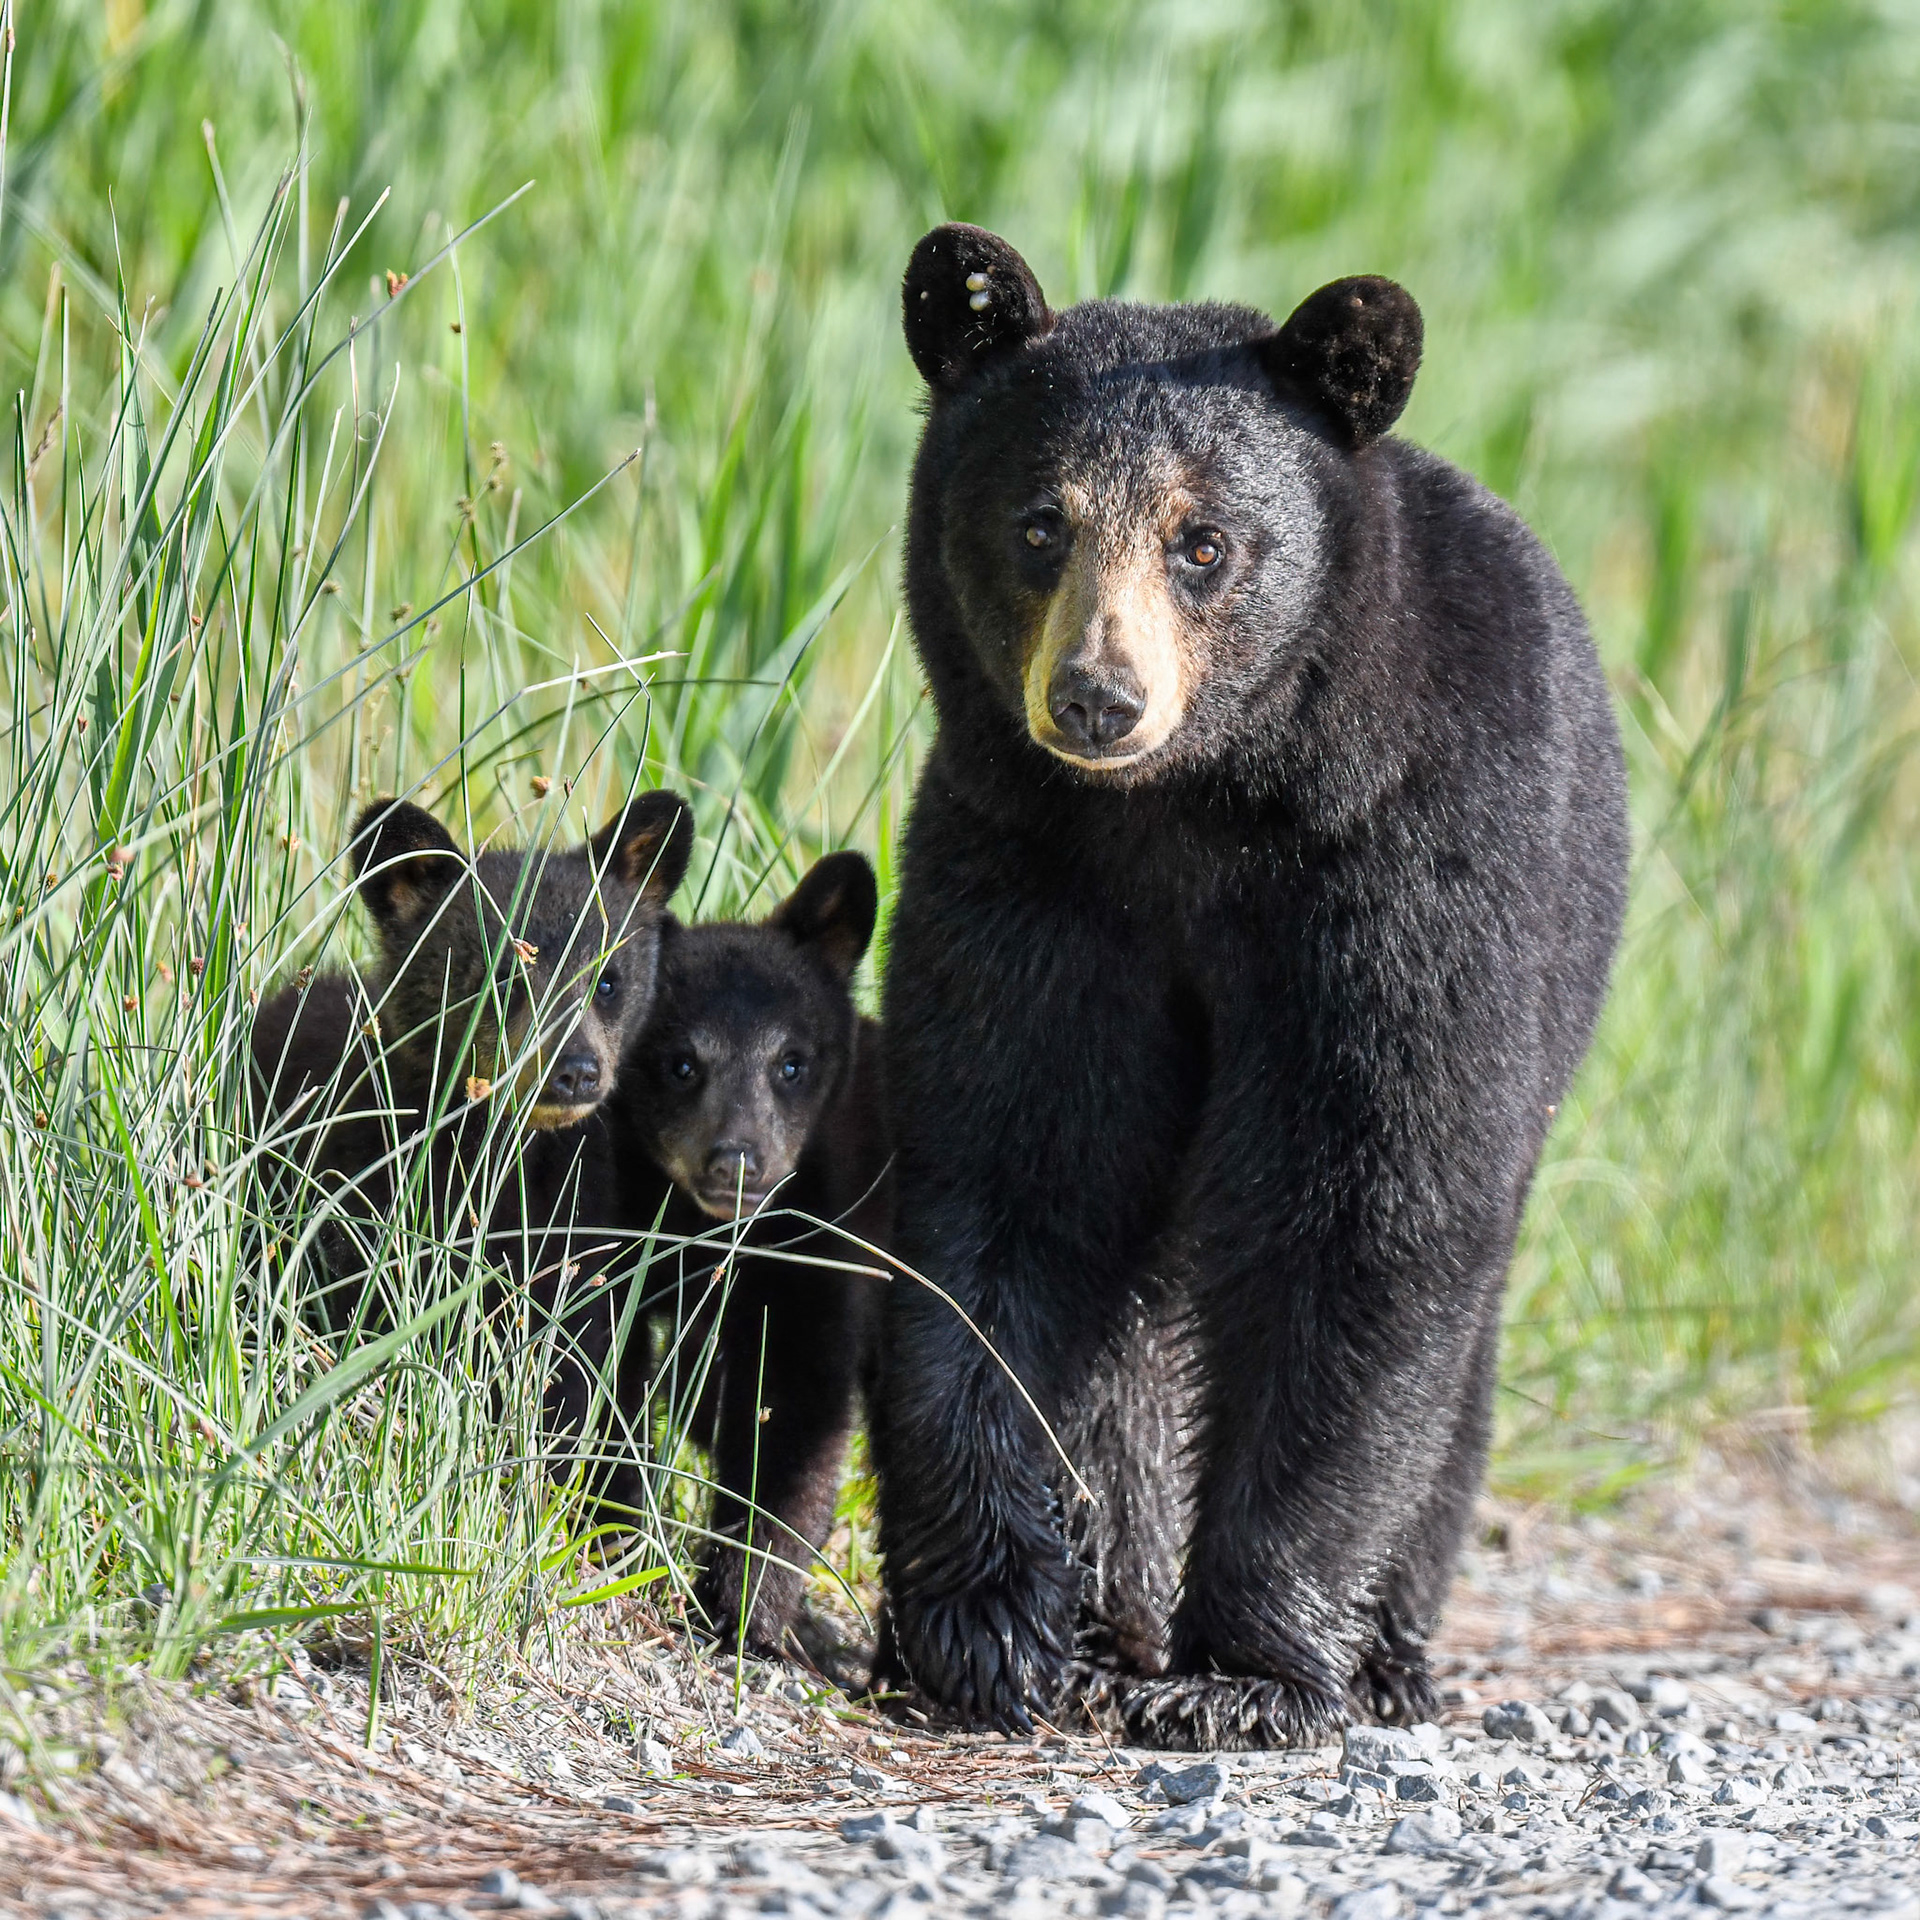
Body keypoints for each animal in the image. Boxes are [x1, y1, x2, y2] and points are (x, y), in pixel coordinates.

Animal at [250, 787, 693, 1479]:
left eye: (608, 980)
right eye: (501, 977)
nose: (576, 1071)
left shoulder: (585, 1222)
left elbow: (582, 1370)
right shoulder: (360, 1200)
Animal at [608, 850, 889, 1659]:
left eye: (791, 1063)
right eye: (680, 1063)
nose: (738, 1160)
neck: (709, 1236)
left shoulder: (820, 1243)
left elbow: (793, 1409)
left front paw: (748, 1606)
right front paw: (605, 1529)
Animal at [871, 223, 1629, 1749]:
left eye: (1203, 541)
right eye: (1039, 524)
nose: (1097, 699)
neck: (1197, 815)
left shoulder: (1403, 873)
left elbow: (1361, 1215)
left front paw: (1245, 1677)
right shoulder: (1029, 869)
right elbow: (1015, 1177)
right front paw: (994, 1626)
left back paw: (1385, 1653)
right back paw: (1111, 1622)